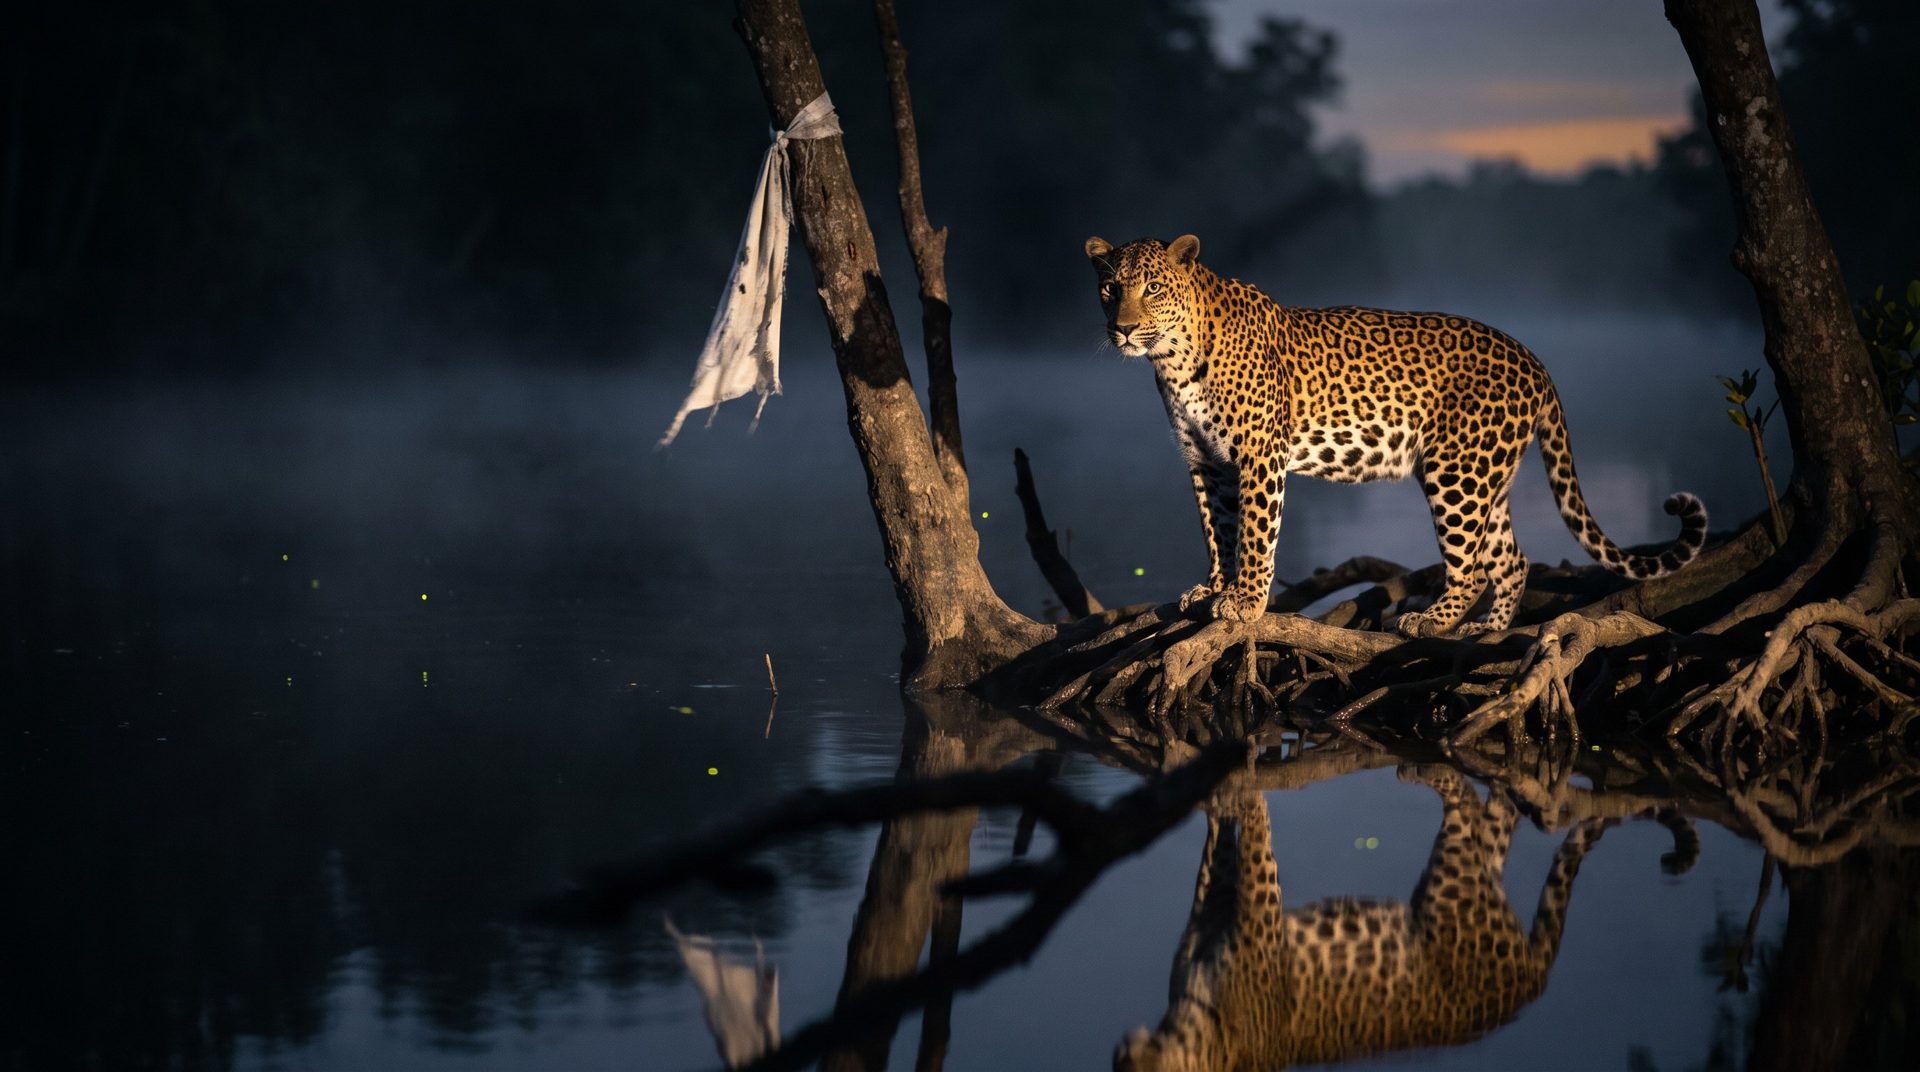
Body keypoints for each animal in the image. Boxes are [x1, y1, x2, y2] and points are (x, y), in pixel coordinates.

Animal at [1084, 234, 1708, 636]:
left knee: (1472, 565)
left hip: (1456, 472)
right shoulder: (1206, 462)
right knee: (1512, 559)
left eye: (1153, 288)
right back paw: (1484, 629)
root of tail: (1533, 359)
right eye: (1110, 289)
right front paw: (1214, 589)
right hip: (1488, 474)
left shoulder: (1259, 456)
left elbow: (1256, 534)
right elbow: (1218, 529)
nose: (1124, 329)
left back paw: (1430, 620)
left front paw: (1247, 603)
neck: (1172, 358)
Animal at [1114, 767, 1621, 1071]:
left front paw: (1241, 788)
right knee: (1495, 819)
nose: (1121, 1050)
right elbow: (1214, 859)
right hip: (1478, 883)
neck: (1196, 1038)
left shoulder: (1258, 914)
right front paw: (1217, 796)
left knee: (1464, 805)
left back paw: (1421, 771)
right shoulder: (1213, 911)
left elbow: (1254, 837)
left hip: (1451, 892)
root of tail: (1532, 984)